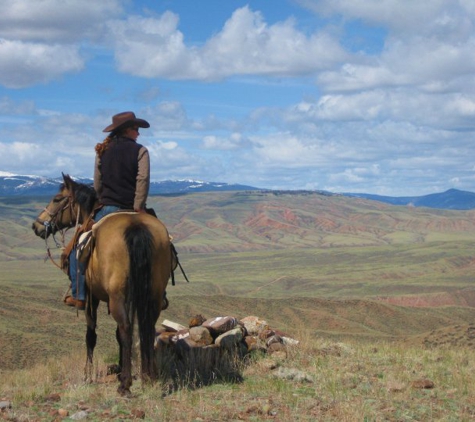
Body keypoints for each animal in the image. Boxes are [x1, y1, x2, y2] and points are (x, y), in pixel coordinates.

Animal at [30, 173, 171, 394]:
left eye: (56, 199)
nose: (36, 226)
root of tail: (135, 226)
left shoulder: (91, 298)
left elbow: (91, 335)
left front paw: (88, 375)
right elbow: (119, 334)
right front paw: (122, 369)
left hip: (116, 295)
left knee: (126, 328)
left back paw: (125, 385)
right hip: (153, 294)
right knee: (146, 326)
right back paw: (150, 377)